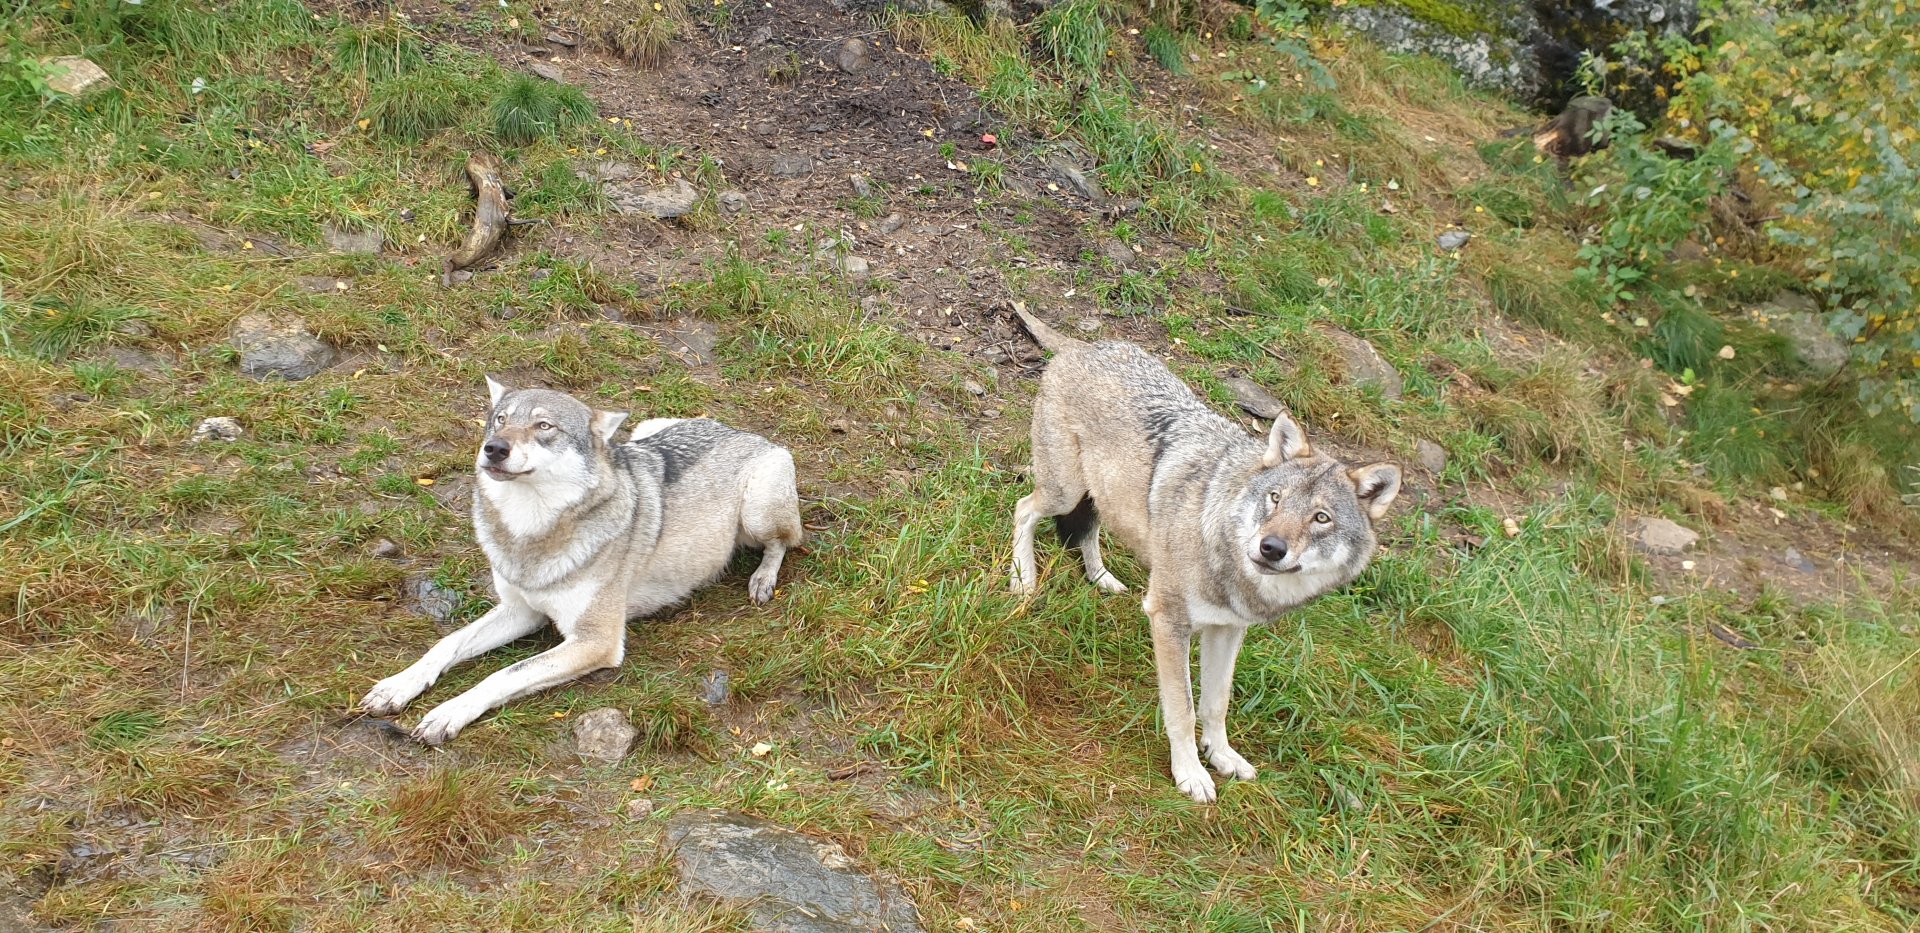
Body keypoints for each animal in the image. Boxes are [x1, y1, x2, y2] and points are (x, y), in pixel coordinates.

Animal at [360, 378, 803, 746]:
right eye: (500, 420)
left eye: (544, 426)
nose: (495, 448)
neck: (530, 531)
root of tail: (746, 433)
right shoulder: (521, 610)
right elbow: (446, 643)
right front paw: (398, 686)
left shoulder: (596, 641)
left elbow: (502, 673)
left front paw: (448, 713)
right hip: (645, 429)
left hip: (757, 514)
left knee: (784, 543)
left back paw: (762, 580)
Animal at [1010, 307, 1401, 802]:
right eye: (1275, 499)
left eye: (1321, 518)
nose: (1270, 548)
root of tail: (1083, 345)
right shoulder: (1169, 621)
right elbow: (1184, 709)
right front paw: (1190, 773)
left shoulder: (1228, 630)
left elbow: (1217, 702)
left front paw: (1222, 755)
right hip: (1063, 491)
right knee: (1023, 509)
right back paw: (1023, 581)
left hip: (1099, 495)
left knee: (1086, 532)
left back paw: (1102, 578)